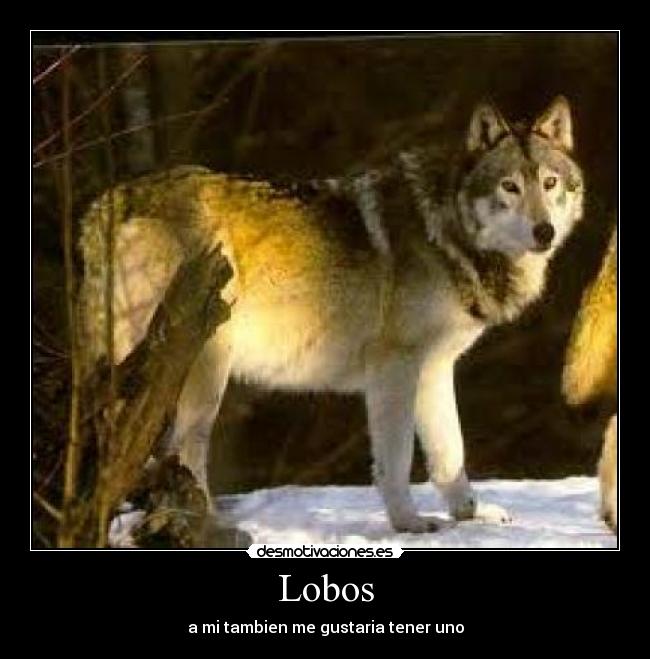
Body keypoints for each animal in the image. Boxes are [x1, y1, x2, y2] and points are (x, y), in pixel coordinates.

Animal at [79, 96, 584, 534]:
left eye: (550, 183)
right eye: (510, 187)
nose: (544, 232)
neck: (447, 233)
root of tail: (109, 201)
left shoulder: (435, 368)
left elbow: (449, 455)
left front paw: (469, 515)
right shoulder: (394, 369)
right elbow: (397, 458)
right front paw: (409, 524)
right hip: (202, 367)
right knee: (183, 450)